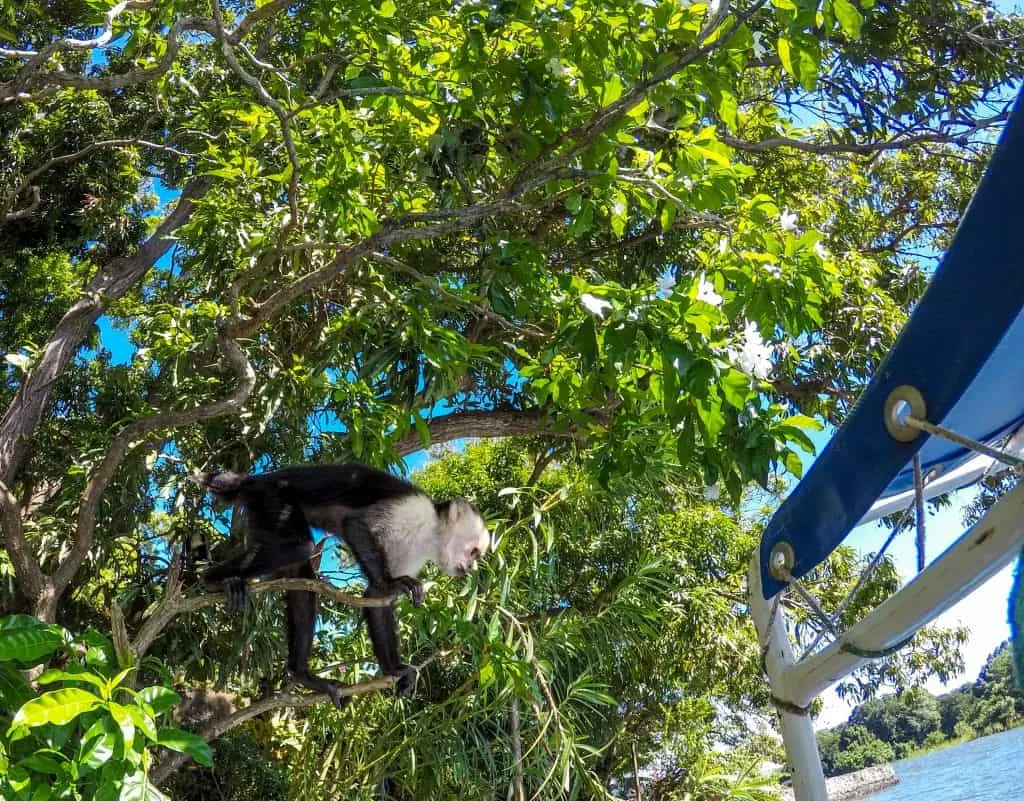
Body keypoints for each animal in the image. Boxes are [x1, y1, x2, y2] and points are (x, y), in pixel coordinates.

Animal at [198, 465, 491, 708]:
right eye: (474, 551)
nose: (471, 568)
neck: (432, 532)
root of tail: (258, 478)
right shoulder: (412, 509)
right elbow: (355, 524)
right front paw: (391, 582)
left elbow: (377, 595)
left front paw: (394, 671)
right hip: (271, 497)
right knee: (299, 546)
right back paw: (216, 579)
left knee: (300, 573)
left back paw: (302, 674)